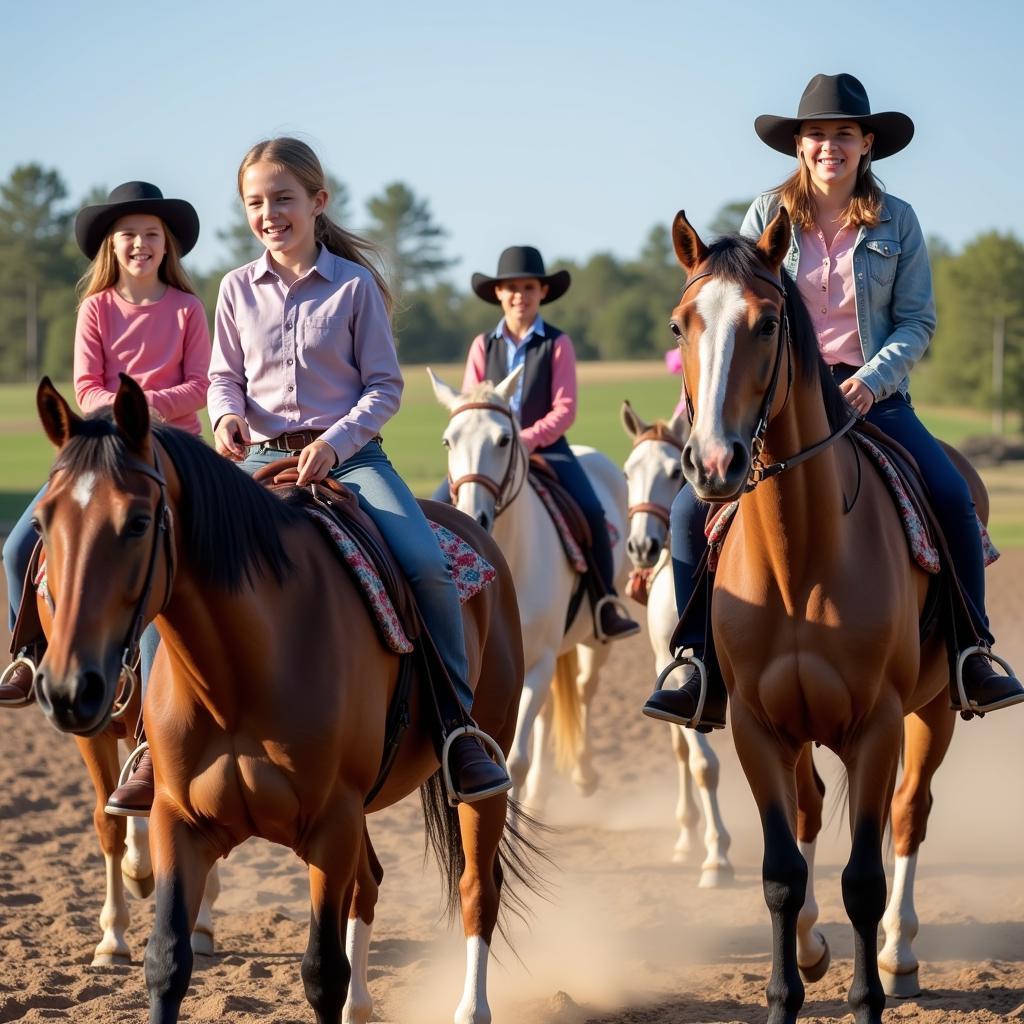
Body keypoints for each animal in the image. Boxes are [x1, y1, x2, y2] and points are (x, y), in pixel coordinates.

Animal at [29, 376, 532, 1024]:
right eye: (45, 520)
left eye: (138, 522)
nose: (70, 688)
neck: (239, 674)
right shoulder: (178, 821)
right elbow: (166, 961)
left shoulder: (331, 824)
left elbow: (321, 972)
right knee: (370, 883)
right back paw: (363, 1005)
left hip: (481, 772)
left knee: (476, 889)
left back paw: (470, 1008)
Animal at [425, 364, 630, 811]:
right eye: (448, 440)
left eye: (504, 439)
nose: (474, 515)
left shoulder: (539, 663)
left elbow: (516, 759)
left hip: (595, 640)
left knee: (584, 692)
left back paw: (583, 774)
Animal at [663, 207, 991, 1024]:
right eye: (682, 322)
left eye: (767, 321)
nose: (713, 464)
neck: (799, 560)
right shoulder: (756, 725)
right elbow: (782, 871)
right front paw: (786, 991)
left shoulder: (876, 726)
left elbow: (864, 877)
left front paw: (868, 996)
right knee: (812, 812)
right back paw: (814, 950)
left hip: (933, 711)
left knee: (910, 813)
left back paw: (900, 958)